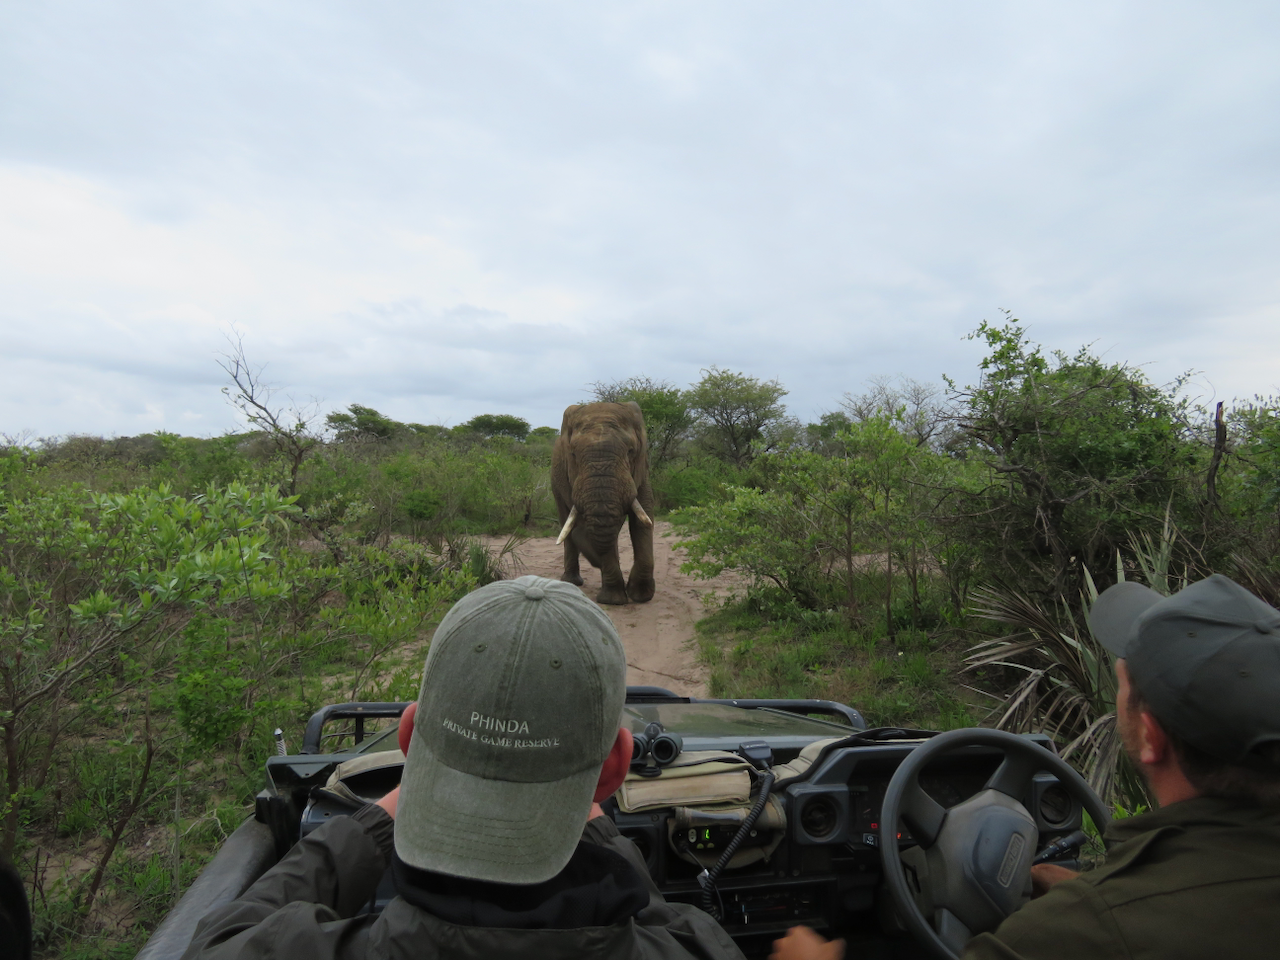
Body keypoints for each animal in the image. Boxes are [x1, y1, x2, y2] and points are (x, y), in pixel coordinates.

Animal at [551, 402, 656, 605]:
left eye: (631, 451)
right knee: (565, 520)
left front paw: (641, 596)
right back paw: (572, 582)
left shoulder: (641, 473)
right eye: (573, 454)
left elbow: (643, 520)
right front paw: (613, 600)